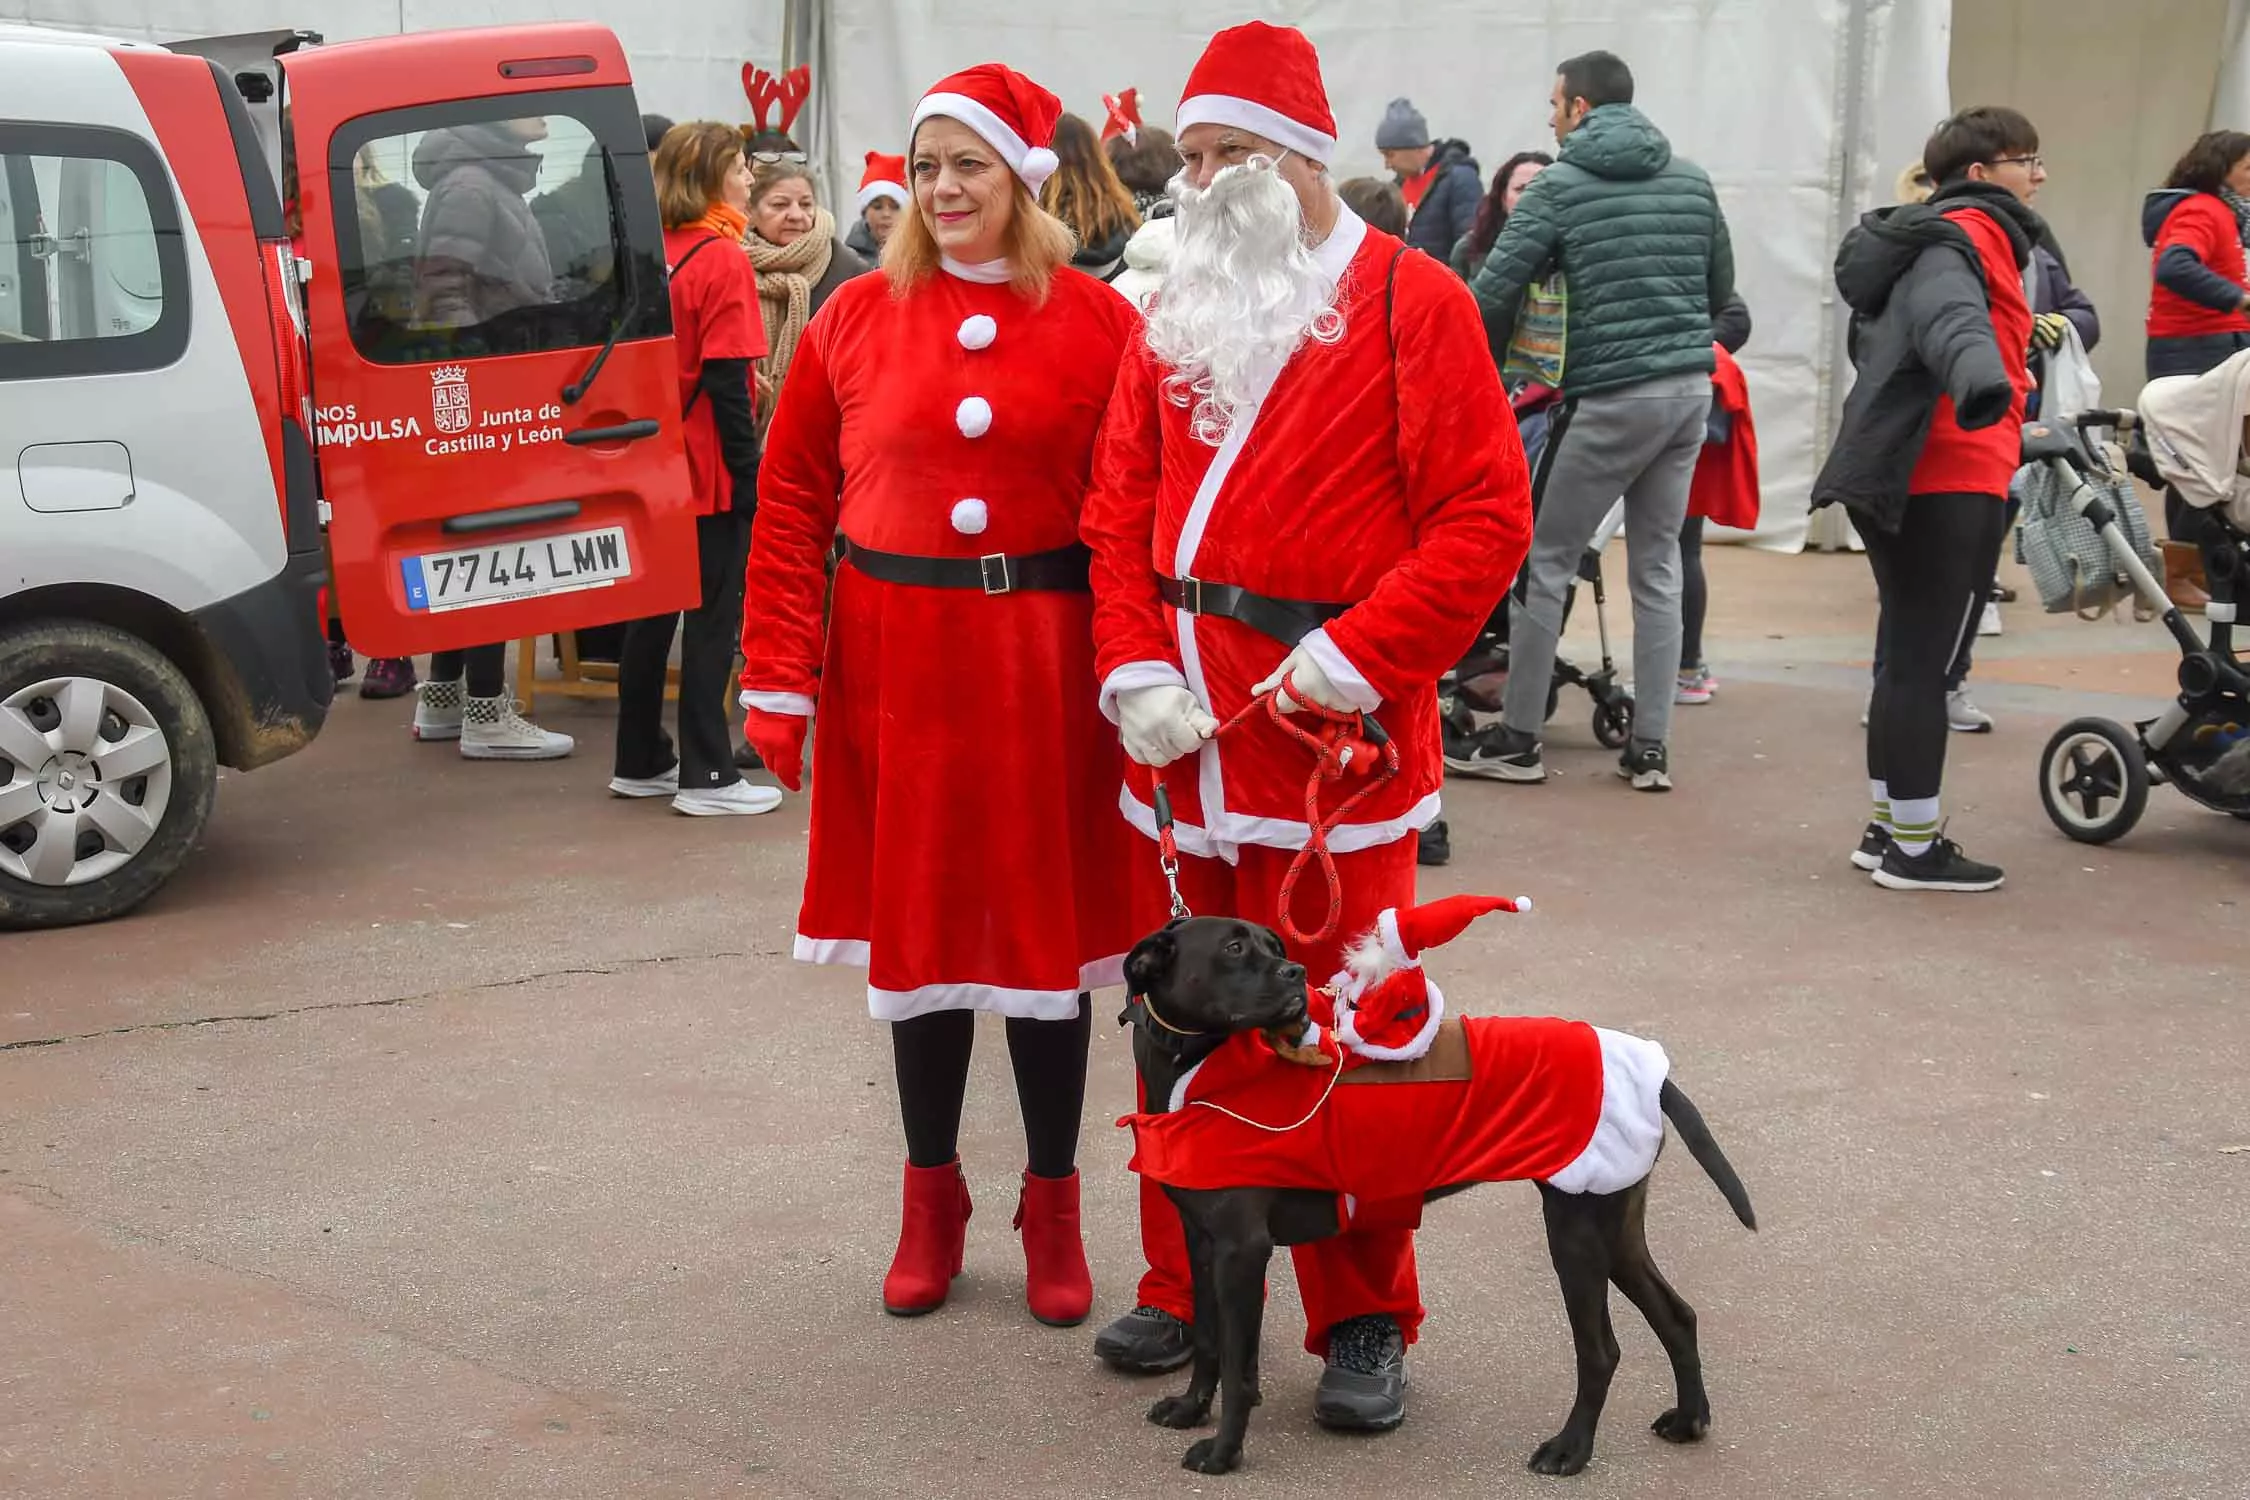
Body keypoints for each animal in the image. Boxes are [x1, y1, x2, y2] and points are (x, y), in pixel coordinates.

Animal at [1125, 917, 1755, 1475]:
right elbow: (1210, 1340)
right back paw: (1689, 1419)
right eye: (1234, 947)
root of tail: (1648, 1068)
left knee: (1601, 1351)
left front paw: (1223, 1453)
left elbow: (1238, 1366)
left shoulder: (1242, 1249)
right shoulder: (1203, 1242)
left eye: (1275, 946)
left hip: (1576, 1230)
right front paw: (1190, 1408)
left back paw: (1570, 1451)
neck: (1199, 1070)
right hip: (1613, 1227)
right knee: (1677, 1315)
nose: (1295, 972)